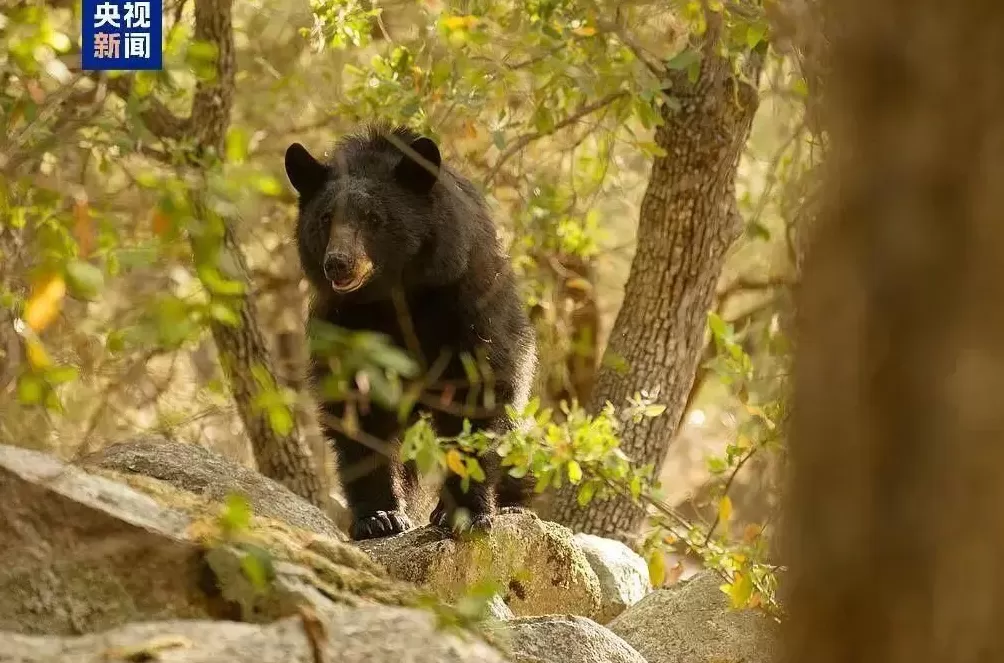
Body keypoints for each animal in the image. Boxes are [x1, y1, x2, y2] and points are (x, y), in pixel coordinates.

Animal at [284, 124, 538, 541]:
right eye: (324, 219)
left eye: (373, 218)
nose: (337, 263)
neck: (396, 292)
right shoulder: (345, 321)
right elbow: (357, 405)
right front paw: (378, 517)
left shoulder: (466, 300)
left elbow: (478, 391)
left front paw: (464, 512)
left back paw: (513, 503)